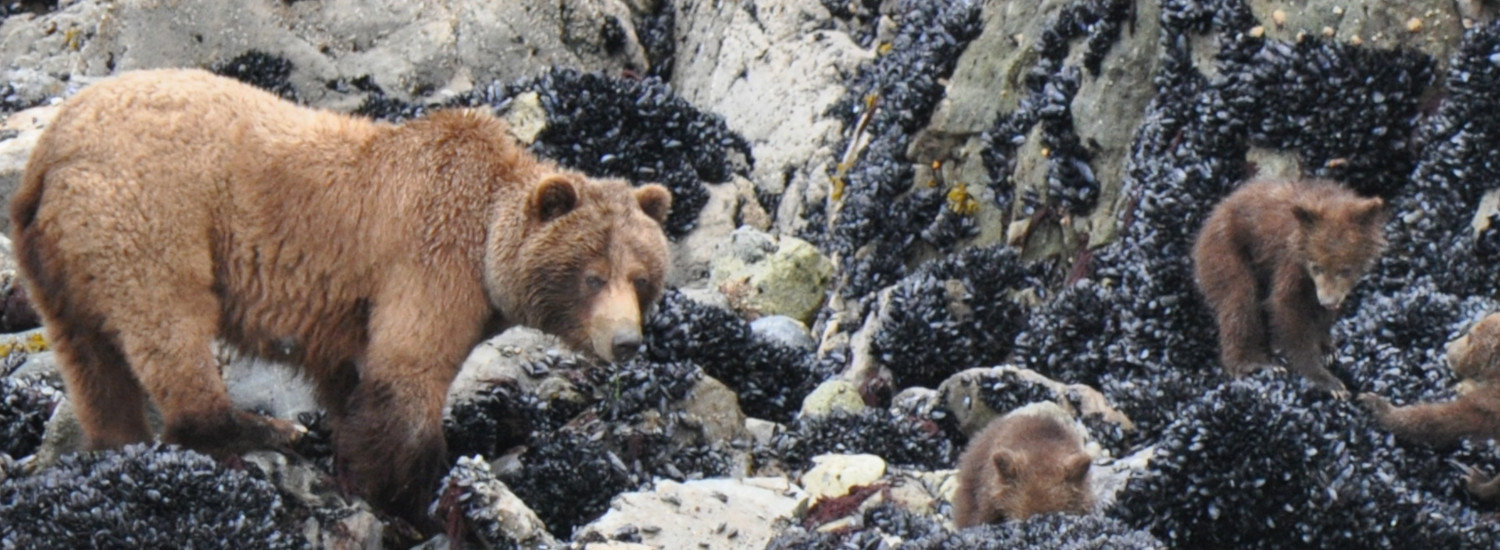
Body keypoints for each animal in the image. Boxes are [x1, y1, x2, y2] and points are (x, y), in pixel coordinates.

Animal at [10, 68, 669, 524]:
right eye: (592, 275)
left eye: (642, 277)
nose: (627, 341)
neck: (485, 236)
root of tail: (52, 146)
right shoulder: (429, 259)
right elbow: (405, 375)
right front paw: (409, 495)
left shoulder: (350, 310)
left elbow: (349, 379)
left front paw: (354, 458)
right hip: (149, 211)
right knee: (170, 322)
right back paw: (259, 429)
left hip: (54, 260)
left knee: (89, 358)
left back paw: (116, 441)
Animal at [1188, 179, 1386, 398]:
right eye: (1316, 266)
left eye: (1345, 269)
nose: (1328, 301)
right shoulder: (1290, 261)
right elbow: (1286, 307)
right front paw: (1328, 380)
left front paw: (1327, 348)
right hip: (1224, 251)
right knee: (1239, 298)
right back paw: (1255, 363)